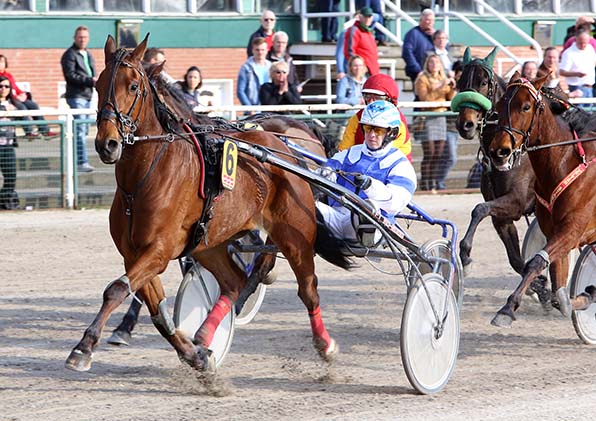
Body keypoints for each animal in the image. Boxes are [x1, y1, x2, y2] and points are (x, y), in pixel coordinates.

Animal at [65, 34, 354, 372]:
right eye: (98, 85)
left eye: (133, 86)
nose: (107, 144)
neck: (140, 181)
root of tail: (285, 147)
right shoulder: (134, 253)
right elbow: (156, 311)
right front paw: (194, 354)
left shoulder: (159, 250)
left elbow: (117, 289)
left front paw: (84, 347)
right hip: (211, 243)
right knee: (233, 282)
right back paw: (205, 333)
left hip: (295, 233)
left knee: (305, 287)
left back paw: (324, 343)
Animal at [452, 46, 536, 276]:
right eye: (460, 82)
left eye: (482, 82)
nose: (466, 125)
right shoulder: (502, 219)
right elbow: (517, 261)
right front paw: (542, 285)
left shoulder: (517, 200)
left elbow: (479, 209)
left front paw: (465, 254)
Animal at [488, 72, 596, 326]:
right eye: (499, 105)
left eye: (526, 106)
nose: (499, 151)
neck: (565, 164)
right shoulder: (554, 231)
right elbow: (560, 295)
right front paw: (584, 296)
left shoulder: (572, 229)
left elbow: (536, 262)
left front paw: (506, 309)